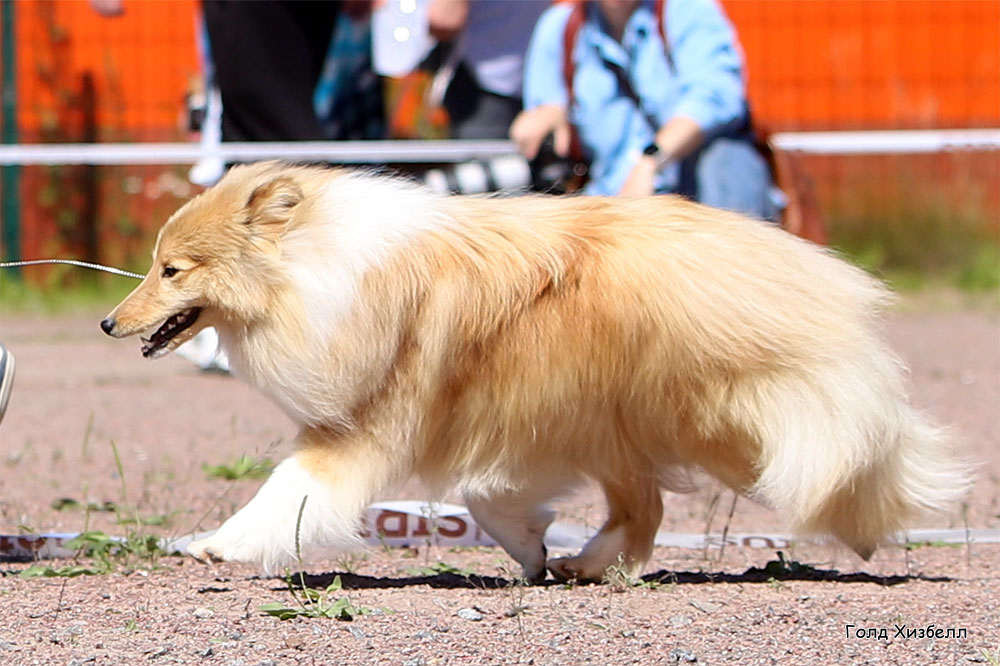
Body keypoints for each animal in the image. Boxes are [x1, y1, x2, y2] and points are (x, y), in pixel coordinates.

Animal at [101, 161, 968, 580]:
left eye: (171, 270)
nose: (109, 322)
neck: (314, 269)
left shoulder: (375, 424)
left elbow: (288, 492)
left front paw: (218, 545)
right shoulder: (533, 419)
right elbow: (490, 496)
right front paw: (533, 550)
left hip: (716, 417)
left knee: (841, 457)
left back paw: (870, 530)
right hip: (631, 420)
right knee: (645, 508)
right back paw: (588, 566)